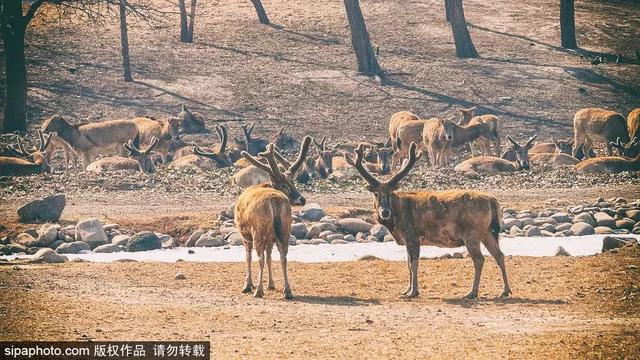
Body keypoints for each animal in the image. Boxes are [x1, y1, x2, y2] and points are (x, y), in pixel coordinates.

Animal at [236, 136, 314, 300]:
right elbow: (270, 256)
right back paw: (287, 291)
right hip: (285, 229)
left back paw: (258, 291)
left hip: (258, 230)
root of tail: (275, 201)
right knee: (283, 256)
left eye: (292, 182)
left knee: (260, 258)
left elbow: (249, 258)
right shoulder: (271, 238)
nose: (302, 199)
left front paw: (247, 285)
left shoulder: (244, 234)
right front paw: (271, 285)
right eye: (285, 184)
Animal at [344, 142, 510, 300]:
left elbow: (413, 263)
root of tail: (492, 201)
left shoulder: (412, 234)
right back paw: (505, 290)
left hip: (472, 233)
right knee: (499, 255)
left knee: (479, 259)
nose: (385, 212)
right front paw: (406, 290)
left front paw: (413, 292)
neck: (397, 218)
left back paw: (472, 292)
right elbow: (407, 262)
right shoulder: (407, 239)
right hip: (488, 232)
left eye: (390, 193)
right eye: (376, 194)